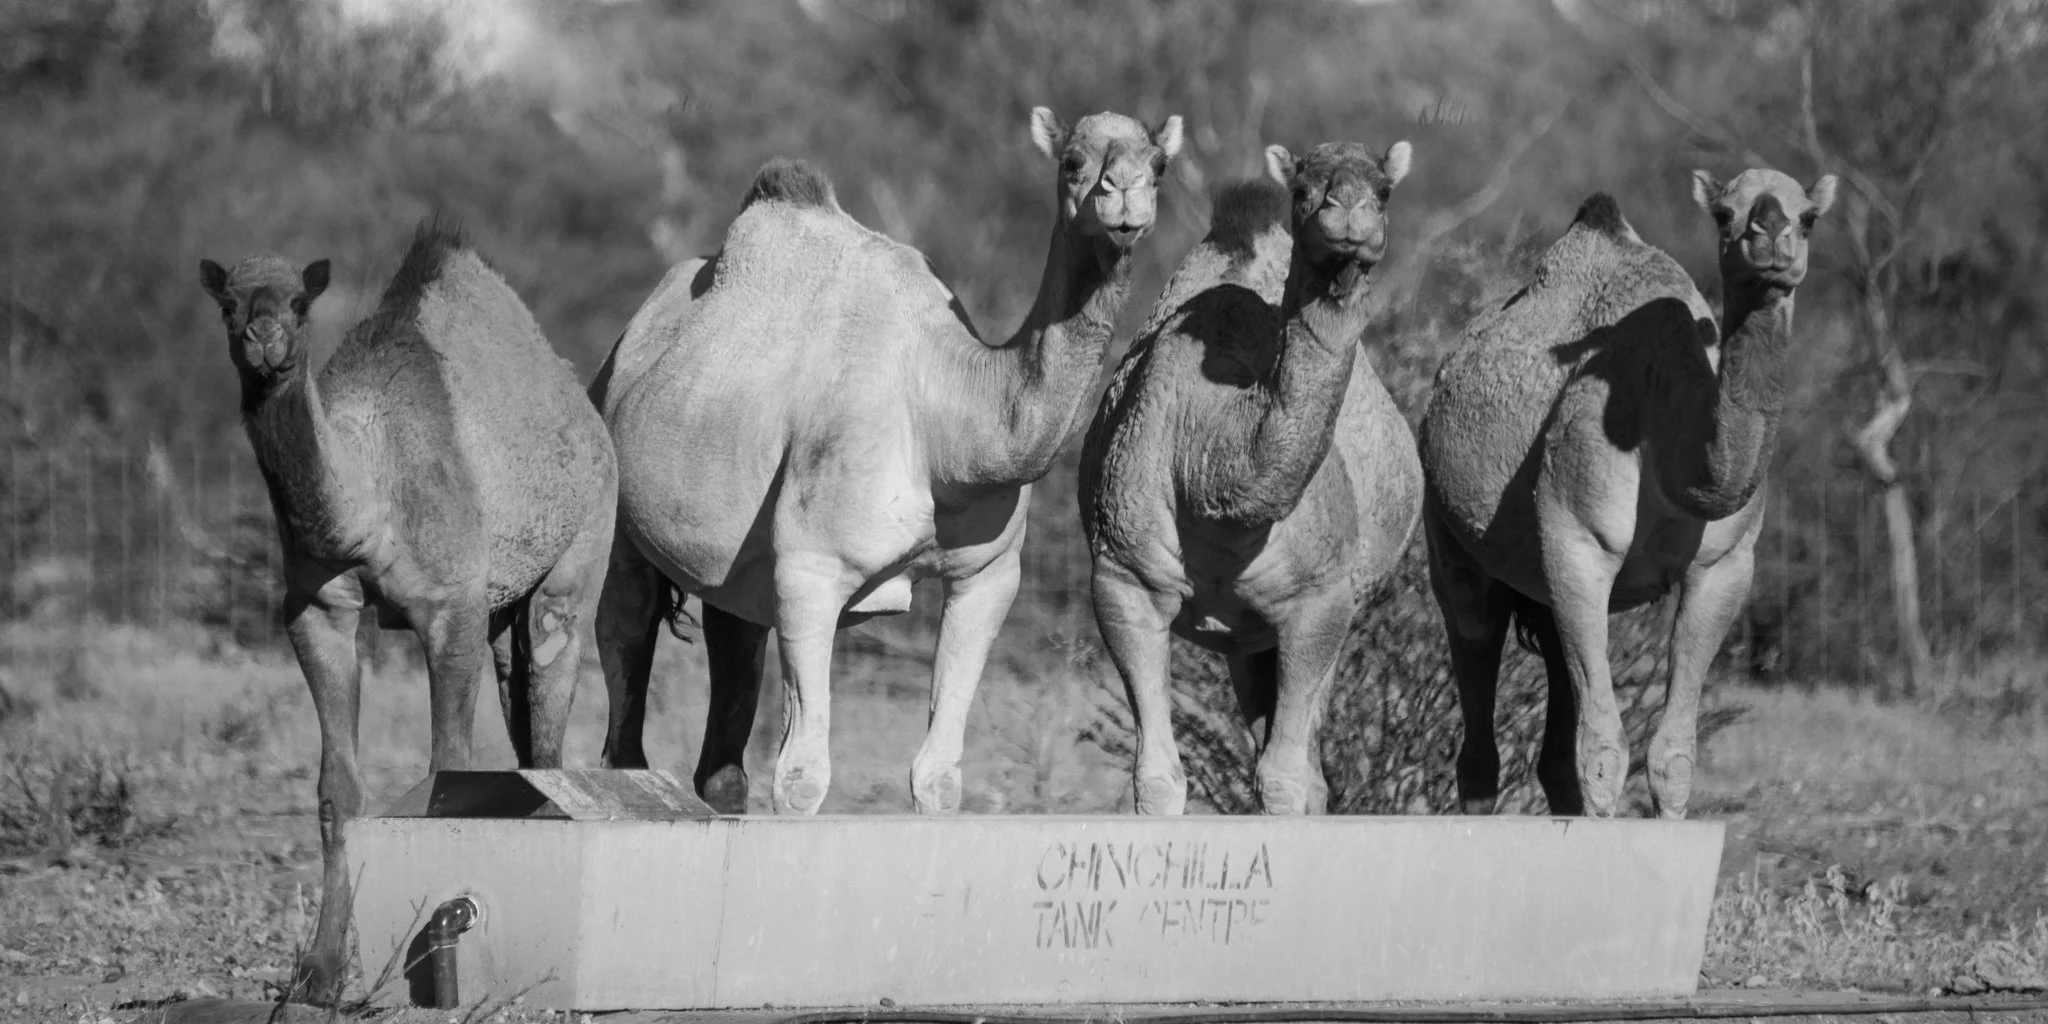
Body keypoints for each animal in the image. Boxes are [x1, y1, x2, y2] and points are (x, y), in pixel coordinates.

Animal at [199, 217, 617, 999]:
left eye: (299, 301)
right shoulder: (317, 608)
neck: (368, 497)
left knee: (550, 706)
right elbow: (337, 789)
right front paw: (319, 976)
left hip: (581, 556)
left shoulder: (452, 607)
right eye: (228, 304)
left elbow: (444, 771)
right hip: (502, 614)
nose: (264, 339)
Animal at [592, 107, 1184, 816]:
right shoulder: (811, 571)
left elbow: (938, 776)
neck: (949, 423)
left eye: (1159, 164)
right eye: (1073, 162)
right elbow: (801, 778)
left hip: (734, 571)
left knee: (728, 697)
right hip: (619, 512)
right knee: (623, 639)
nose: (1125, 196)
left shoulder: (988, 577)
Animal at [1078, 140, 1423, 815]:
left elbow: (1287, 780)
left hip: (1334, 612)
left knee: (1308, 767)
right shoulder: (1124, 580)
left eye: (1384, 190)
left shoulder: (1320, 601)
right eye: (1304, 190)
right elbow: (1156, 777)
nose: (1348, 212)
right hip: (1247, 642)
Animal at [1416, 169, 1836, 819]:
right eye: (1725, 214)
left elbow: (1673, 757)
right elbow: (1604, 753)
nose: (1769, 233)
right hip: (1452, 545)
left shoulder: (1724, 567)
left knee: (1553, 749)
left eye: (1809, 215)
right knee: (1477, 719)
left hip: (1544, 593)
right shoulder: (1580, 548)